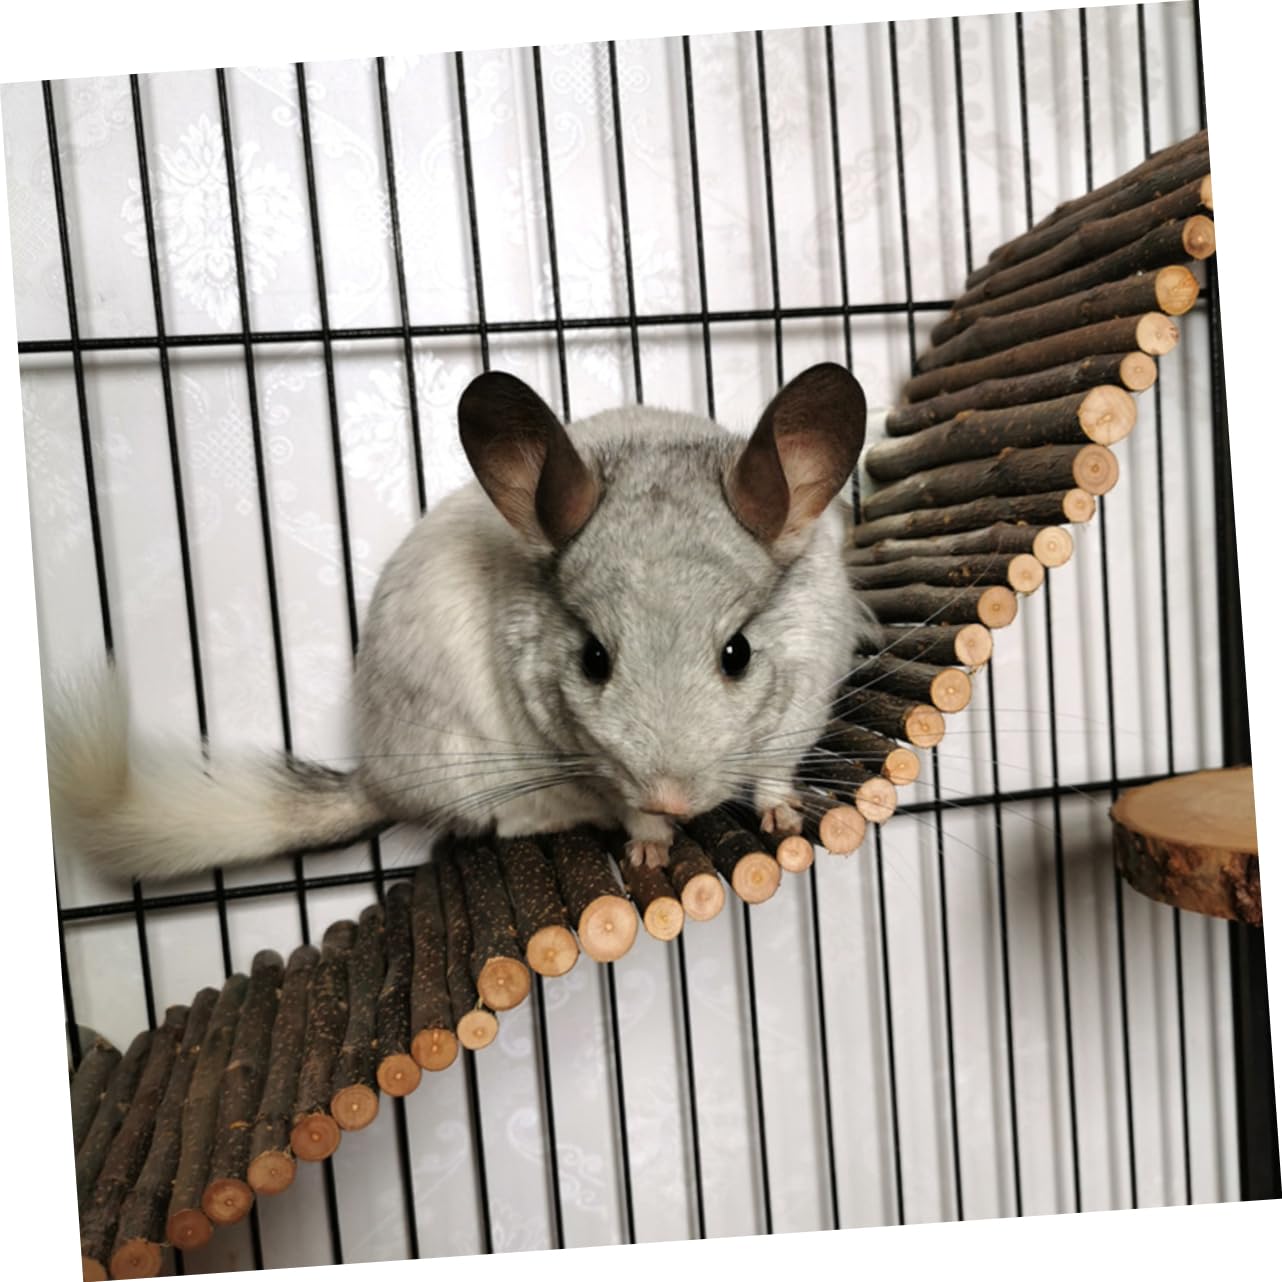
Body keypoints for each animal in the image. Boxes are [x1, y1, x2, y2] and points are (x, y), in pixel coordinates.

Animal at [44, 362, 868, 880]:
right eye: (593, 658)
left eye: (738, 652)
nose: (666, 794)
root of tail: (377, 776)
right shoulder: (581, 756)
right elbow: (625, 812)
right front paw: (648, 846)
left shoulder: (800, 708)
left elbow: (772, 776)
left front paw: (784, 820)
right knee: (497, 820)